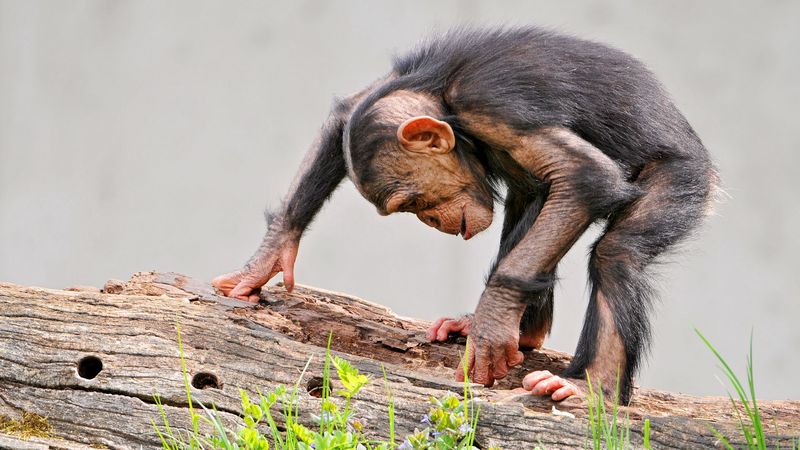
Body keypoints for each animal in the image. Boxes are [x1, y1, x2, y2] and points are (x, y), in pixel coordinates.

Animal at [213, 26, 718, 404]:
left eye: (410, 202)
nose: (430, 221)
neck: (447, 100)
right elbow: (347, 111)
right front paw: (266, 258)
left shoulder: (491, 106)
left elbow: (584, 176)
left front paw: (491, 325)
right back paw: (525, 331)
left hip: (685, 176)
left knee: (616, 254)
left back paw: (591, 387)